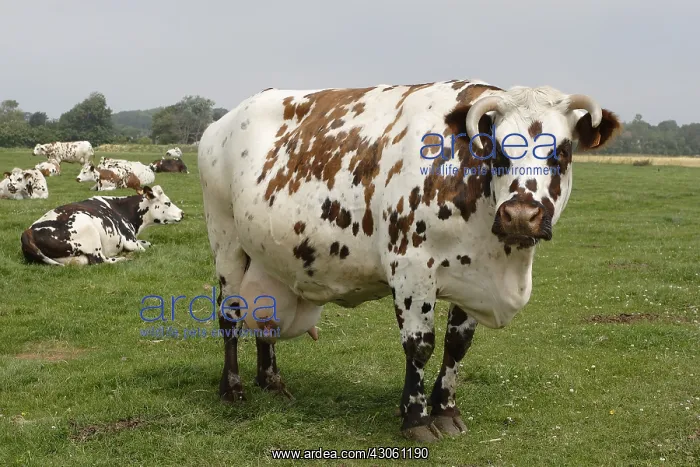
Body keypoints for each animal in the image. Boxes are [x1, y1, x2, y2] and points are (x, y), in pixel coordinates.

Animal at [20, 185, 184, 266]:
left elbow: (148, 243)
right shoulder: (130, 241)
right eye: (167, 203)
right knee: (101, 261)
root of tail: (28, 231)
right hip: (90, 233)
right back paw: (124, 258)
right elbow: (146, 249)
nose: (182, 213)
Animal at [197, 80, 621, 442]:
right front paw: (416, 418)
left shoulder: (471, 278)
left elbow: (457, 345)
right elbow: (420, 346)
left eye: (562, 151)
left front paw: (446, 410)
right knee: (230, 315)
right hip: (226, 239)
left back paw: (271, 381)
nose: (520, 215)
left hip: (267, 255)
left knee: (265, 315)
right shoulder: (412, 269)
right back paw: (232, 388)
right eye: (499, 150)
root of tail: (222, 122)